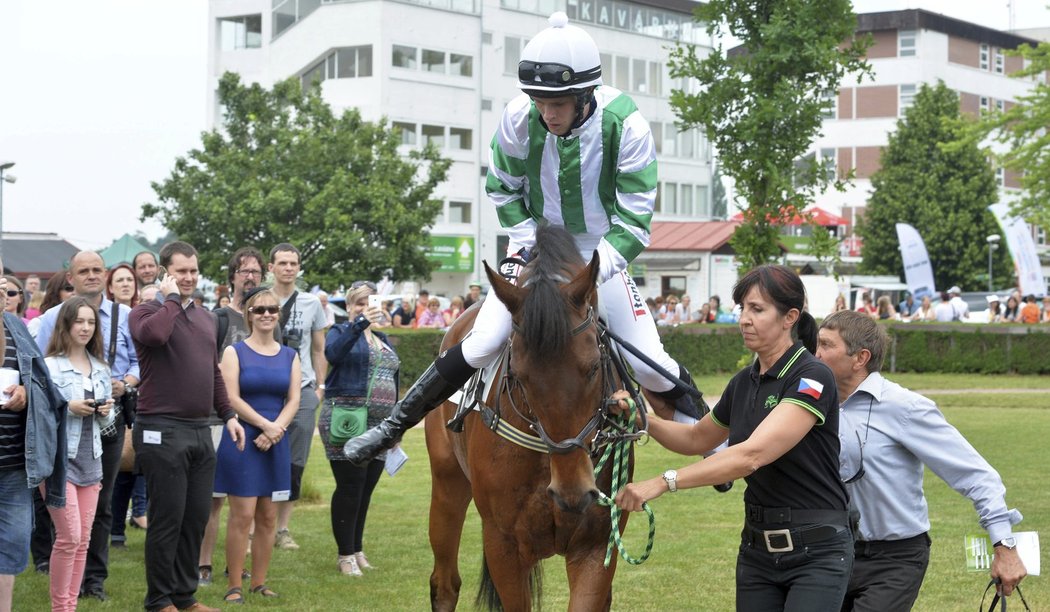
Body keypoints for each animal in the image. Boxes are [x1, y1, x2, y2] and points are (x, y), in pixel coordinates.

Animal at [422, 226, 634, 612]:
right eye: (520, 376)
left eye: (594, 367)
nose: (572, 492)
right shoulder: (503, 543)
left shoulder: (595, 545)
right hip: (447, 484)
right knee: (444, 583)